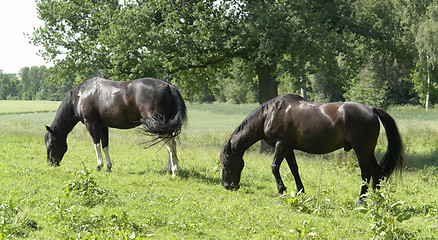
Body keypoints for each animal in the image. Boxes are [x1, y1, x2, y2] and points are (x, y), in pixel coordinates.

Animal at [44, 77, 186, 176]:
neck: (81, 95)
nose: (50, 163)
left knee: (170, 145)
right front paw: (108, 167)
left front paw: (99, 166)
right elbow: (105, 145)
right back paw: (169, 170)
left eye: (51, 144)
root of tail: (169, 86)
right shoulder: (103, 126)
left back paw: (174, 172)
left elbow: (96, 145)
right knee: (169, 145)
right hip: (164, 126)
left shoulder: (91, 124)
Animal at [219, 93, 404, 202]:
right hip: (368, 150)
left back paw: (361, 199)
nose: (228, 186)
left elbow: (274, 167)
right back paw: (375, 198)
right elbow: (294, 169)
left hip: (361, 150)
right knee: (376, 170)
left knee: (366, 172)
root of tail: (372, 109)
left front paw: (281, 191)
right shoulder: (288, 148)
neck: (270, 114)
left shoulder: (281, 144)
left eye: (225, 163)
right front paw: (300, 190)